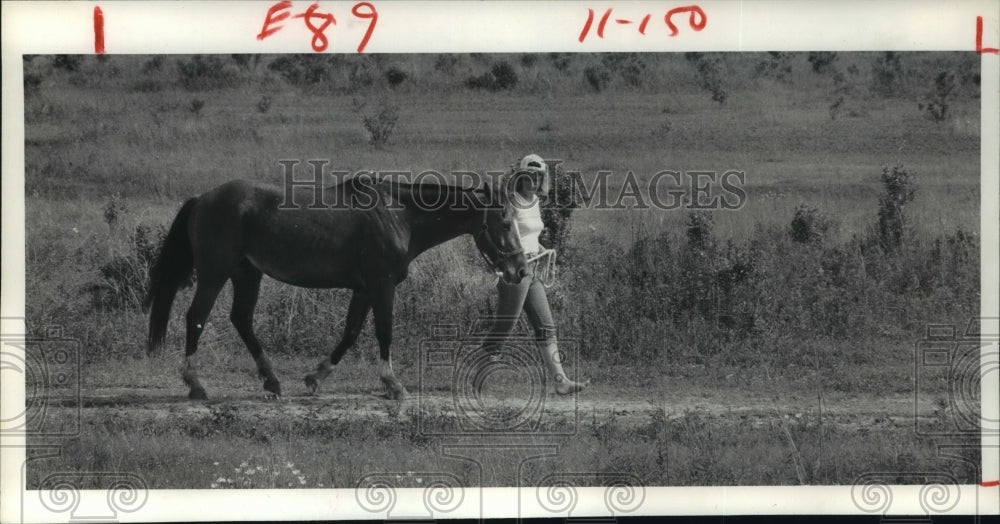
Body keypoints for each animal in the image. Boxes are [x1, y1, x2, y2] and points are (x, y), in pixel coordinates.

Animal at [146, 177, 532, 402]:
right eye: (505, 222)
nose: (520, 270)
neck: (398, 214)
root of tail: (202, 199)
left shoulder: (363, 290)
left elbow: (350, 333)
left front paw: (316, 378)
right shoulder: (381, 285)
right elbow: (384, 331)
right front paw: (393, 384)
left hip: (247, 274)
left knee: (241, 319)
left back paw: (272, 381)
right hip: (215, 273)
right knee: (196, 317)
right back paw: (196, 384)